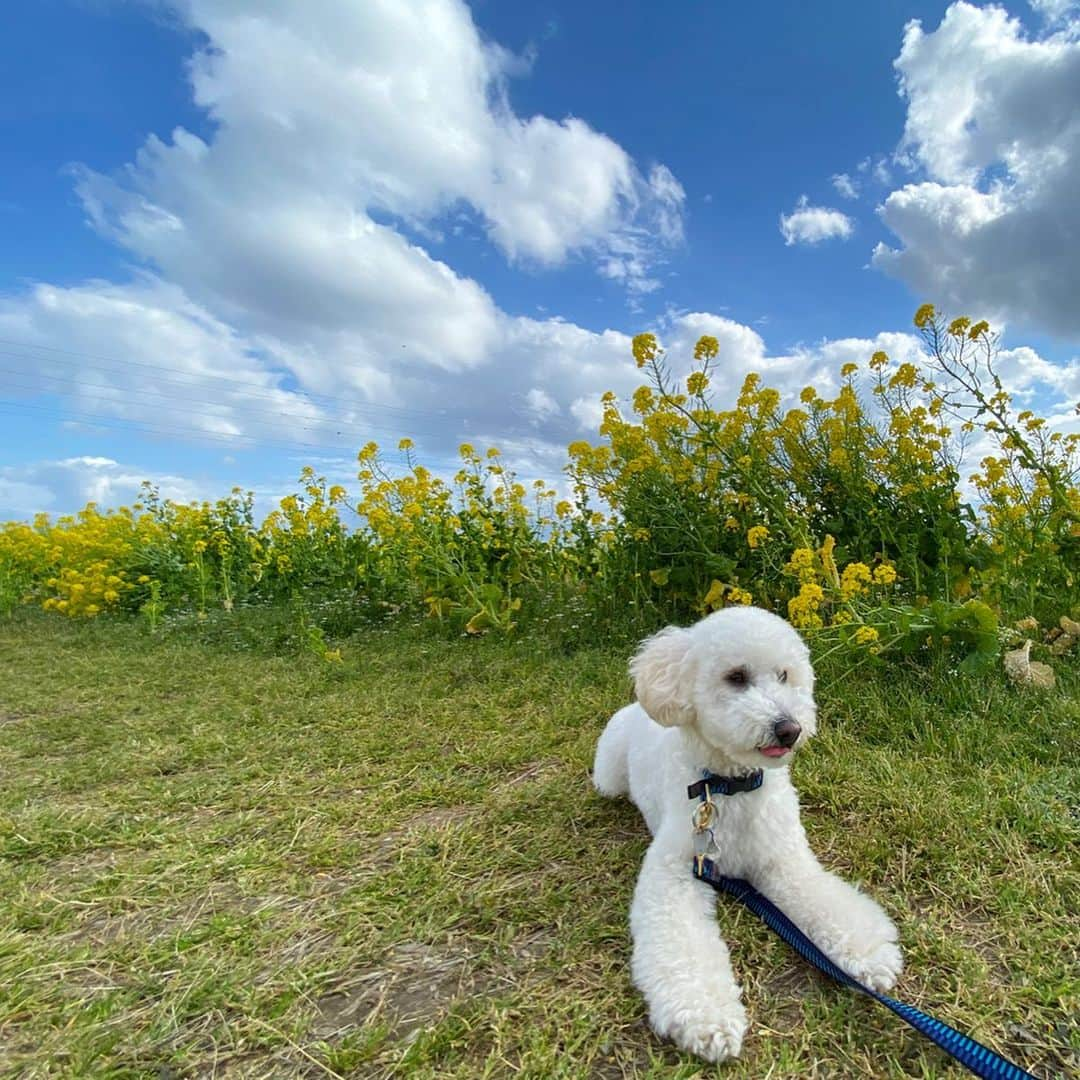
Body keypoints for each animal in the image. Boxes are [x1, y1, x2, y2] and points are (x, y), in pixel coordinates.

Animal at [591, 609, 902, 1062]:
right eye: (736, 677)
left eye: (785, 675)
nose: (789, 728)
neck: (730, 787)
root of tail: (637, 705)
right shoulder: (676, 871)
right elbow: (682, 946)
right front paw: (706, 1018)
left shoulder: (783, 860)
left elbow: (826, 902)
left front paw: (867, 954)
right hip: (609, 775)